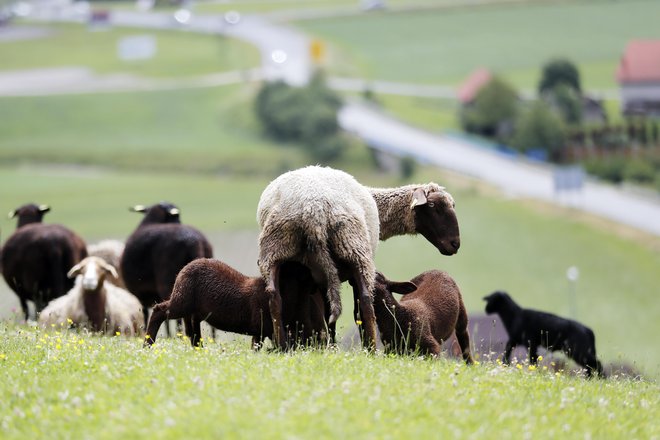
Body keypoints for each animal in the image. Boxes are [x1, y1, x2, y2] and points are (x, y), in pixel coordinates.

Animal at [146, 258, 328, 348]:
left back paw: (199, 350)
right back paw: (147, 344)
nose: (319, 284)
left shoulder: (261, 330)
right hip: (182, 300)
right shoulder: (265, 327)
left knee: (193, 329)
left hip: (195, 310)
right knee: (158, 310)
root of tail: (185, 267)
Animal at [255, 167, 462, 348]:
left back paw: (282, 345)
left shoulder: (320, 279)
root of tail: (313, 210)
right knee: (365, 302)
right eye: (433, 205)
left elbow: (328, 315)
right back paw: (370, 349)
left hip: (275, 248)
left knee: (275, 297)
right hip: (356, 250)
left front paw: (331, 346)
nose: (455, 244)